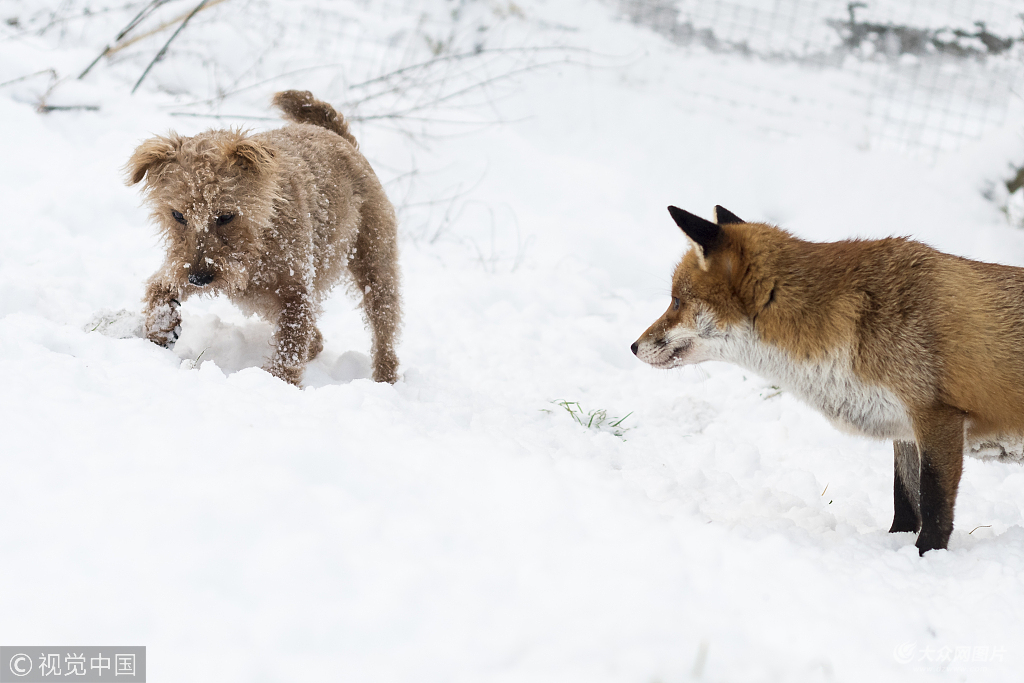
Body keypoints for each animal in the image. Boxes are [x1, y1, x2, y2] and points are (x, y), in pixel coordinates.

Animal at [123, 90, 399, 385]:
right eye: (177, 215)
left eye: (225, 215)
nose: (198, 279)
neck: (258, 243)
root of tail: (337, 135)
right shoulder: (199, 269)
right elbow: (158, 285)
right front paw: (162, 327)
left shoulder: (295, 292)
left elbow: (290, 347)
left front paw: (276, 384)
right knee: (317, 338)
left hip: (376, 266)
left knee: (384, 330)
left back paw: (385, 378)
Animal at [630, 206, 1024, 557]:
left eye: (676, 301)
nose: (633, 347)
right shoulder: (904, 429)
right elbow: (905, 500)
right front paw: (895, 544)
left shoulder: (936, 416)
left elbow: (935, 506)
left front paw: (926, 558)